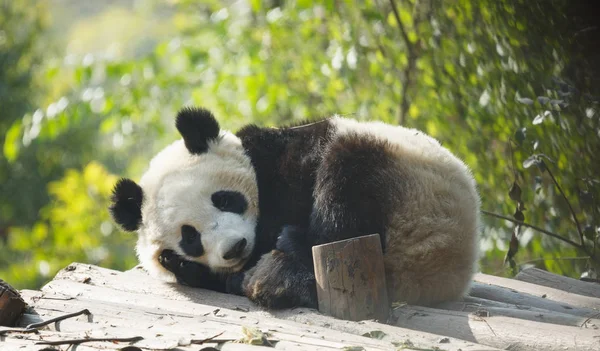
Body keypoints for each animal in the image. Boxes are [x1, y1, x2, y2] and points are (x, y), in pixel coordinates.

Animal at [109, 106, 482, 310]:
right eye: (190, 237)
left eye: (224, 199)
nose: (234, 248)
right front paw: (179, 265)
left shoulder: (289, 159)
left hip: (410, 191)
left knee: (345, 185)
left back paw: (283, 263)